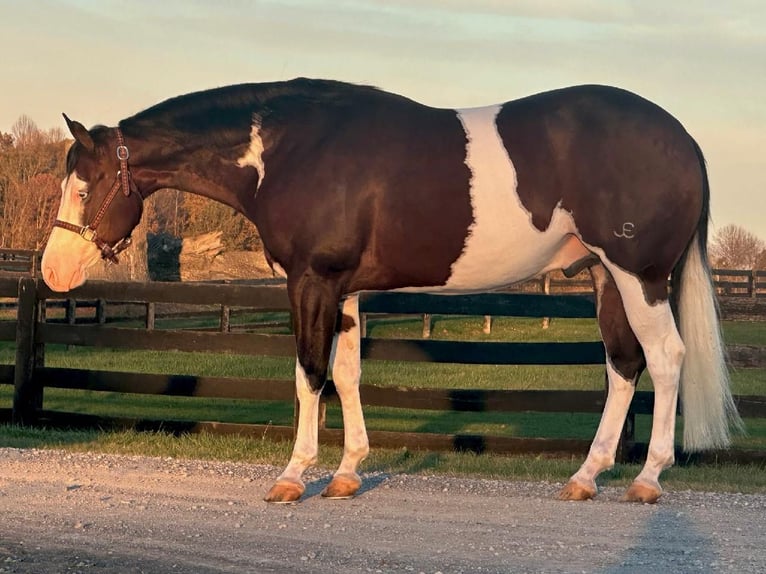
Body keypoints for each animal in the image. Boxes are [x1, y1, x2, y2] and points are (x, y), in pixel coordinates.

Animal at [40, 77, 744, 504]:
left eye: (84, 185)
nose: (52, 273)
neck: (288, 149)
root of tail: (684, 139)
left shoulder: (311, 282)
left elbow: (308, 373)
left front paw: (293, 476)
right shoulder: (345, 290)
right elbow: (347, 373)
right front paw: (348, 473)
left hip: (638, 276)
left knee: (665, 359)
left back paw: (647, 480)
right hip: (604, 277)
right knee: (623, 365)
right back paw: (586, 476)